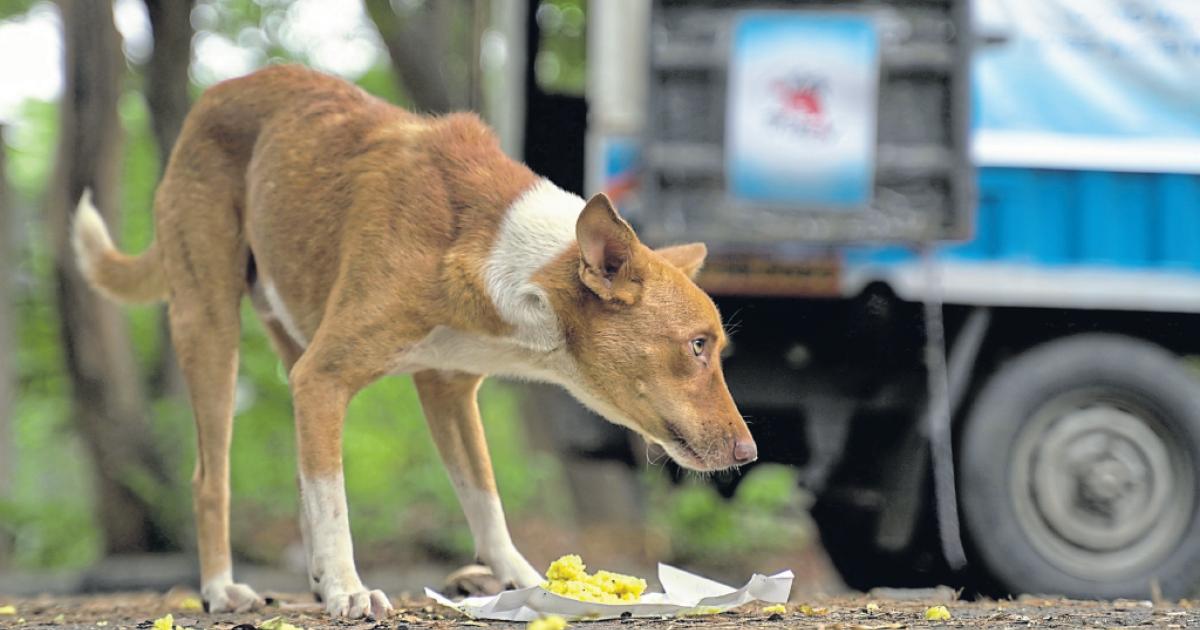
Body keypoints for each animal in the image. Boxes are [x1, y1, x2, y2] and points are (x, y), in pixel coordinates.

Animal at [70, 65, 753, 619]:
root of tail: (216, 93)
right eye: (697, 346)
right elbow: (336, 500)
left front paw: (524, 581)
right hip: (210, 326)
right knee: (211, 478)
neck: (497, 248)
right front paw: (348, 590)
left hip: (292, 342)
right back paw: (222, 588)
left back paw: (312, 577)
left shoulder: (446, 391)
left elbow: (484, 499)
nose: (748, 453)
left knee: (300, 471)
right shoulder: (326, 375)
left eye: (716, 350)